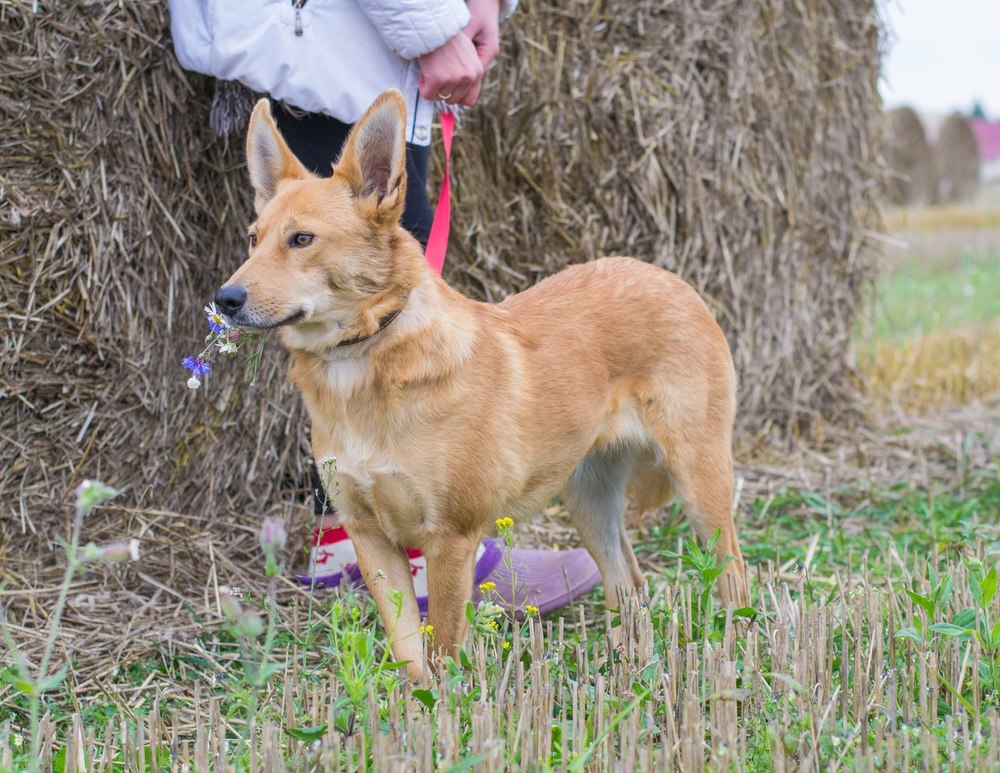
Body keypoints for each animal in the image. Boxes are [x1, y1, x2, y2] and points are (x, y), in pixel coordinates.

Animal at [221, 90, 752, 680]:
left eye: (302, 239)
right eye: (252, 239)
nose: (225, 298)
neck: (364, 361)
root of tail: (669, 277)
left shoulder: (450, 539)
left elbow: (444, 655)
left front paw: (448, 705)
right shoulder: (369, 537)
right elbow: (410, 657)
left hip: (700, 481)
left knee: (735, 575)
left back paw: (738, 659)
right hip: (588, 496)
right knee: (629, 584)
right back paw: (627, 667)